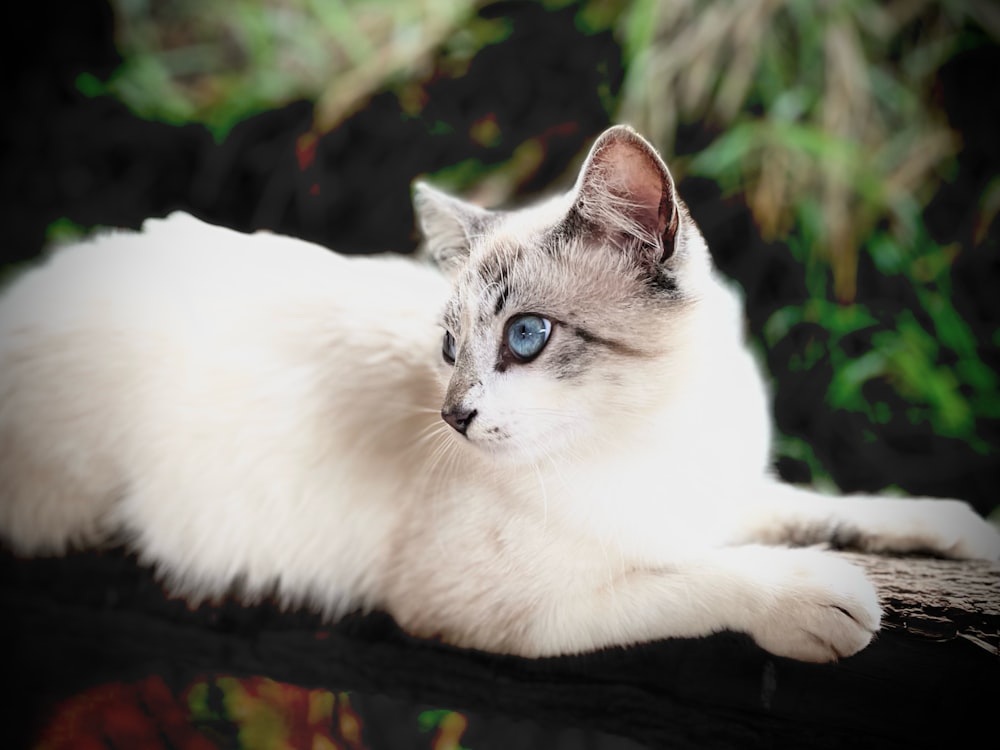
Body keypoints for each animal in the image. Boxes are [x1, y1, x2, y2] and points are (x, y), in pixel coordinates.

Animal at [1, 125, 1000, 664]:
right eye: (448, 348)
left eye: (525, 337)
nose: (454, 415)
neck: (653, 434)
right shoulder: (497, 605)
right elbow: (692, 575)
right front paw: (816, 598)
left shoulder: (713, 496)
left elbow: (821, 506)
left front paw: (959, 530)